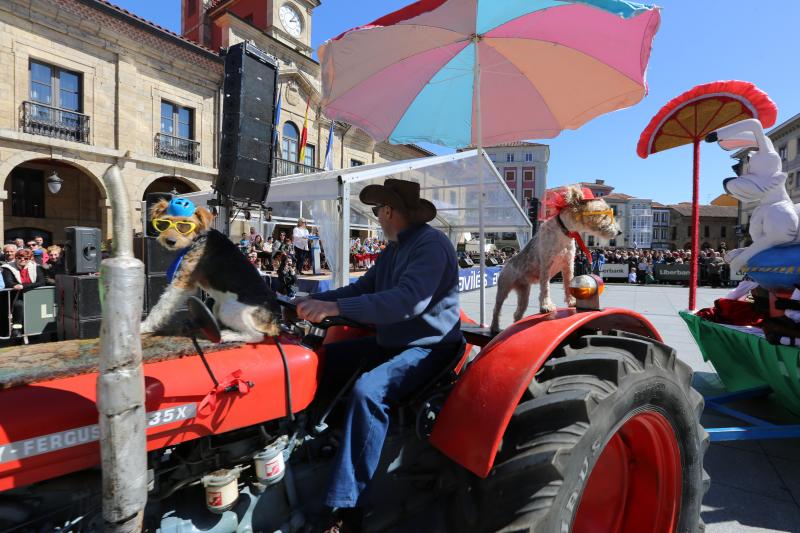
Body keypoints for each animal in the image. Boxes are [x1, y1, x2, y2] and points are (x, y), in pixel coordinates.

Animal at [141, 197, 282, 342]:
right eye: (164, 223)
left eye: (185, 225)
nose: (169, 241)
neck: (198, 237)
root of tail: (275, 321)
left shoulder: (182, 282)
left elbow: (161, 306)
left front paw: (144, 327)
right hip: (218, 306)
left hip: (228, 310)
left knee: (256, 336)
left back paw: (227, 335)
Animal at [488, 184, 620, 332]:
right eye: (604, 214)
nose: (619, 232)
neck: (564, 232)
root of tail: (506, 263)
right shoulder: (546, 264)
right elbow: (545, 287)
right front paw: (546, 306)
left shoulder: (568, 264)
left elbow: (568, 283)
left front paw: (572, 301)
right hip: (503, 289)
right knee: (496, 309)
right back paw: (494, 327)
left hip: (524, 292)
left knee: (517, 313)